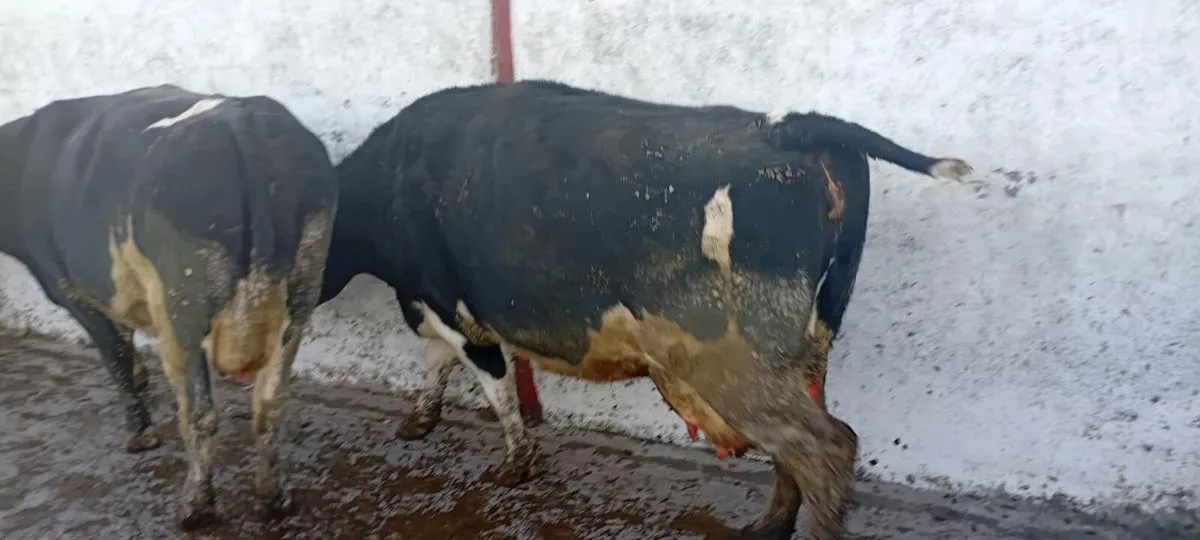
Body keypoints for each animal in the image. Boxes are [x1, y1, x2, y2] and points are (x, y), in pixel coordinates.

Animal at [0, 85, 338, 529]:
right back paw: (271, 498)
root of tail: (243, 121)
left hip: (183, 315)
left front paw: (140, 434)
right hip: (299, 300)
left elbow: (116, 359)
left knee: (199, 415)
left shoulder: (75, 293)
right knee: (269, 404)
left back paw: (195, 506)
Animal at [317, 79, 971, 540]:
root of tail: (789, 126)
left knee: (826, 445)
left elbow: (494, 385)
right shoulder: (428, 302)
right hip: (806, 344)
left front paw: (514, 465)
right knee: (804, 442)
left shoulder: (451, 304)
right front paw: (419, 420)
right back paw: (767, 527)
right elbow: (436, 362)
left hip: (736, 359)